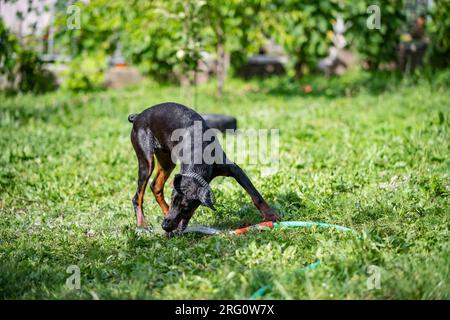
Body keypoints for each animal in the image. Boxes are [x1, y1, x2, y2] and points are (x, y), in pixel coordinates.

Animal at [128, 104, 280, 234]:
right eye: (173, 201)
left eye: (185, 207)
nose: (165, 226)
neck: (198, 154)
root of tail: (138, 116)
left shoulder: (234, 170)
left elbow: (255, 195)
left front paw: (271, 215)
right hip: (146, 160)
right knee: (137, 196)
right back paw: (142, 225)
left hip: (167, 161)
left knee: (155, 186)